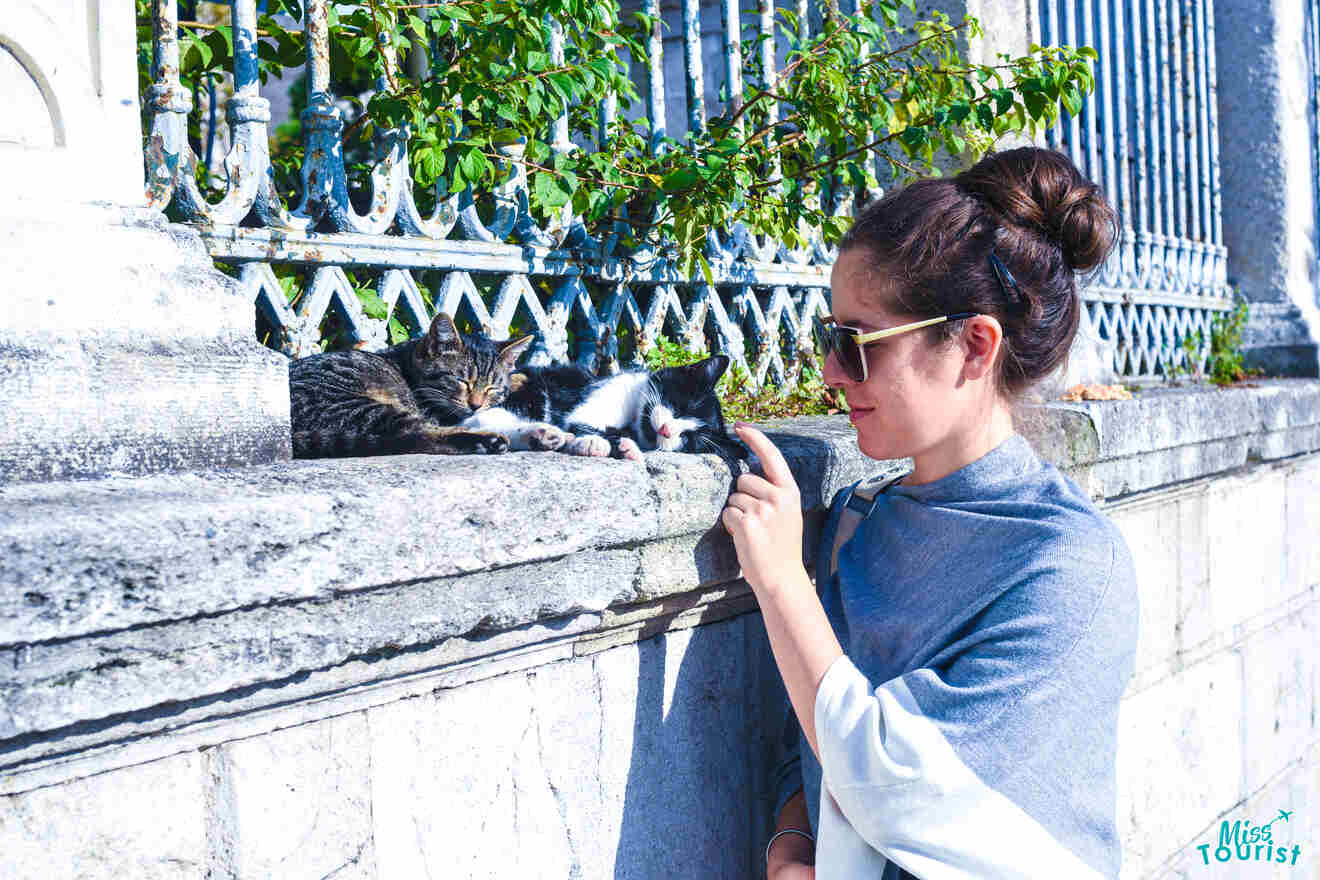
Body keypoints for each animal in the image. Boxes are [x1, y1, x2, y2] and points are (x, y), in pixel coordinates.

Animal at [467, 353, 749, 461]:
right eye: (680, 406)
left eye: (688, 438)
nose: (667, 430)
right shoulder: (602, 393)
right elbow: (583, 421)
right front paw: (599, 442)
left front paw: (625, 447)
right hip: (529, 390)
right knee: (478, 422)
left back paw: (543, 436)